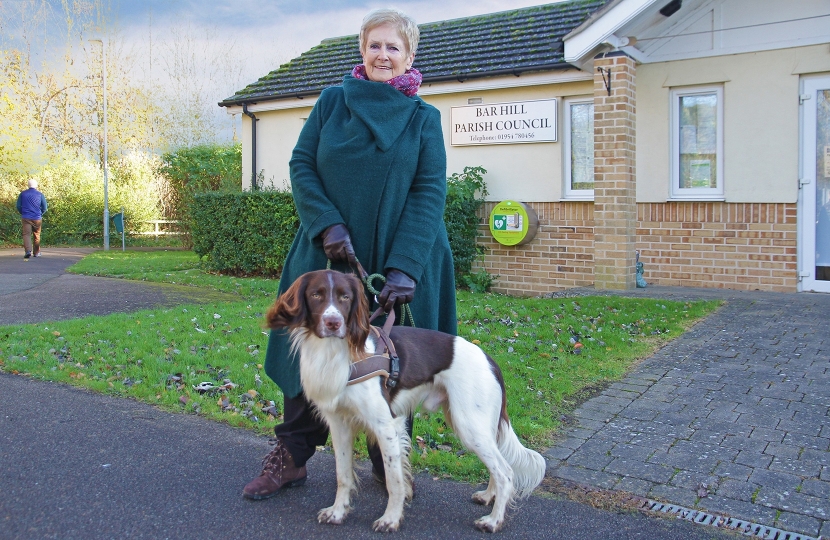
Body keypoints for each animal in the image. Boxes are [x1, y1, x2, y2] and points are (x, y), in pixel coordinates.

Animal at [266, 270, 548, 532]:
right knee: (498, 465)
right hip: (473, 424)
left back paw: (493, 521)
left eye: (345, 297)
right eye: (316, 295)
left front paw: (390, 519)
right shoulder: (340, 424)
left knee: (506, 472)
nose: (333, 323)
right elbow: (343, 474)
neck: (337, 354)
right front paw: (338, 513)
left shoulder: (386, 426)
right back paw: (488, 496)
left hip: (469, 424)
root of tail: (490, 359)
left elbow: (395, 480)